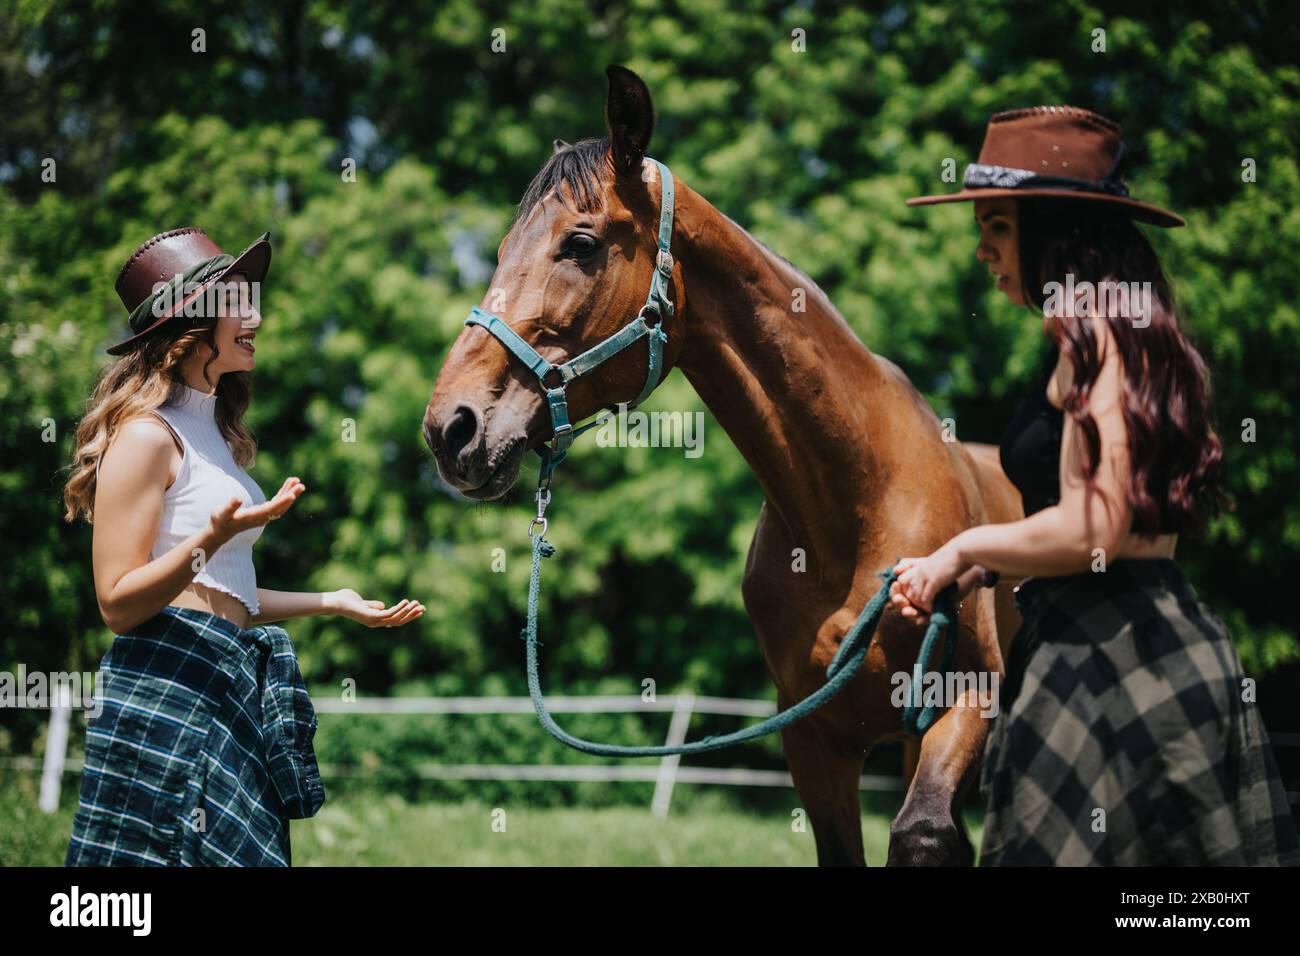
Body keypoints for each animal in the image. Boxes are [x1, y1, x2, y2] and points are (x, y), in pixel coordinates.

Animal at [424, 64, 1024, 866]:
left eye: (580, 243)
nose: (449, 428)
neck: (854, 508)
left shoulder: (968, 698)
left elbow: (924, 830)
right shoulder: (813, 744)